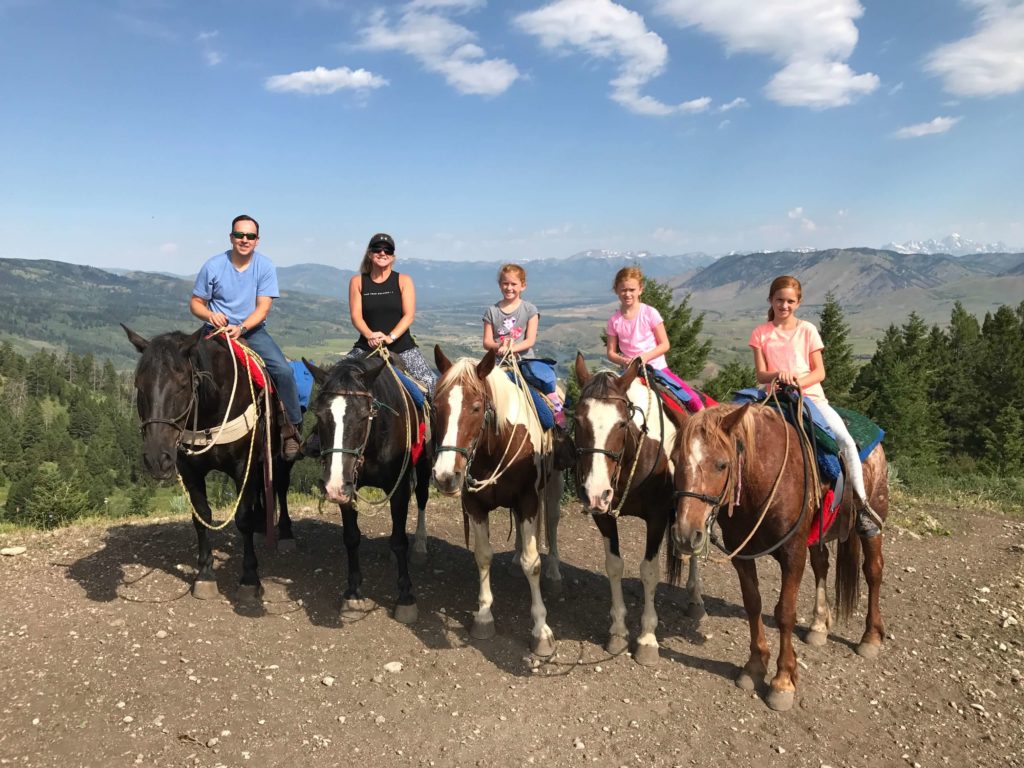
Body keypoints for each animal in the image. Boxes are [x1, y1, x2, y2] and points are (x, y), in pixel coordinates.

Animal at [122, 325, 296, 602]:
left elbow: (243, 518)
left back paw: (286, 533)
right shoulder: (189, 469)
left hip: (278, 455)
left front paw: (249, 578)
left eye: (183, 385)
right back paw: (262, 526)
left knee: (279, 485)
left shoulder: (242, 464)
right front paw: (204, 574)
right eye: (139, 385)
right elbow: (201, 515)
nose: (157, 459)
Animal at [303, 354, 432, 626]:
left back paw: (420, 547)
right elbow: (352, 537)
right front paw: (353, 594)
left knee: (422, 499)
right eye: (319, 416)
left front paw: (406, 597)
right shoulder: (347, 486)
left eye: (364, 415)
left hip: (425, 466)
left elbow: (399, 540)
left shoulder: (399, 487)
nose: (332, 487)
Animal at [430, 348, 565, 655]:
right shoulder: (475, 506)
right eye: (436, 406)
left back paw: (554, 571)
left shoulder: (528, 500)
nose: (445, 477)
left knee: (552, 522)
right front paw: (483, 617)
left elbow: (533, 563)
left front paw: (541, 630)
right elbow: (483, 556)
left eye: (476, 407)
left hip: (554, 482)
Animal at [573, 358, 708, 663]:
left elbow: (649, 572)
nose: (595, 492)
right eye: (577, 421)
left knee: (695, 549)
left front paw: (647, 639)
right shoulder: (603, 516)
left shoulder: (657, 517)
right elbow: (614, 565)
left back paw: (696, 598)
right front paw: (618, 632)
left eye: (622, 423)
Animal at [671, 405, 888, 712]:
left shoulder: (792, 553)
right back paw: (819, 625)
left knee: (873, 571)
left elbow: (785, 612)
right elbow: (753, 604)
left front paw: (783, 680)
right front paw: (754, 666)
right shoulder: (741, 553)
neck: (764, 477)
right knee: (822, 564)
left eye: (721, 464)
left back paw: (870, 637)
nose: (686, 535)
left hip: (872, 523)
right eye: (674, 460)